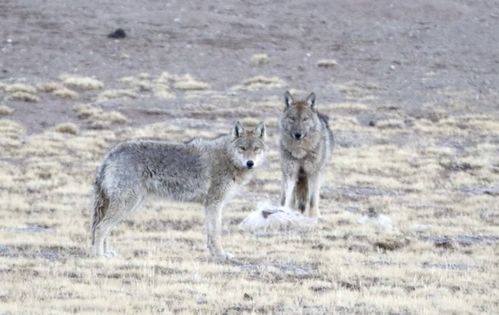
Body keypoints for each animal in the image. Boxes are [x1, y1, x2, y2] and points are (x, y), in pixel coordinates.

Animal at [92, 121, 268, 260]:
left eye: (256, 149)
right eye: (242, 148)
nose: (250, 163)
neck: (227, 158)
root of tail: (111, 153)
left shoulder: (210, 205)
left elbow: (210, 234)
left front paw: (213, 254)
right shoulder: (214, 203)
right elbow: (216, 232)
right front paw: (221, 255)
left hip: (130, 205)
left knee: (105, 228)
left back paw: (107, 253)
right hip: (127, 204)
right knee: (100, 227)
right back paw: (99, 256)